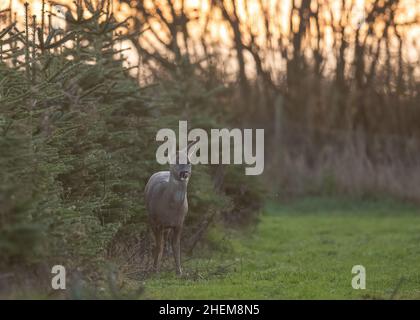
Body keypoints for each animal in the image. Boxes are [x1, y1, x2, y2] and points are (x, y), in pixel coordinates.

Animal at [145, 139, 199, 276]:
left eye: (189, 162)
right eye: (176, 161)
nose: (184, 173)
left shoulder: (179, 223)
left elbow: (176, 246)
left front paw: (179, 271)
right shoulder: (157, 222)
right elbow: (159, 245)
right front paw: (155, 270)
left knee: (167, 241)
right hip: (150, 218)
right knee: (155, 241)